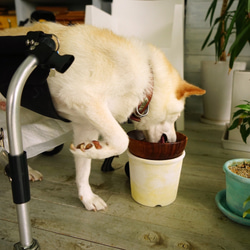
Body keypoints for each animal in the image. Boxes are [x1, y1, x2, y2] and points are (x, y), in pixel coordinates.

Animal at [0, 23, 205, 211]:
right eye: (175, 116)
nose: (172, 140)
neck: (149, 80)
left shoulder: (85, 125)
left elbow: (84, 170)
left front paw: (87, 196)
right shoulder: (84, 98)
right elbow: (122, 140)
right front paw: (101, 149)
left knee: (8, 144)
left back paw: (25, 171)